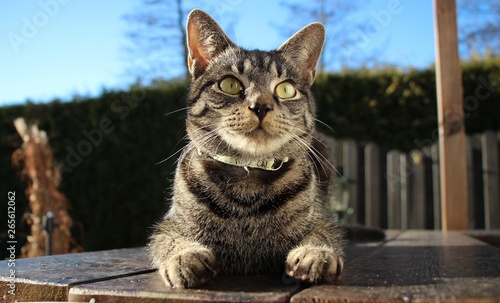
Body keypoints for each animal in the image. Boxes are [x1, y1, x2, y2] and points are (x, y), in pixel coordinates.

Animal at [147, 9, 344, 290]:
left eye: (286, 89)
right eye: (230, 84)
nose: (261, 105)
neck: (247, 178)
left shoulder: (322, 219)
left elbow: (323, 234)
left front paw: (316, 253)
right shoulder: (168, 225)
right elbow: (171, 241)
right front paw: (185, 256)